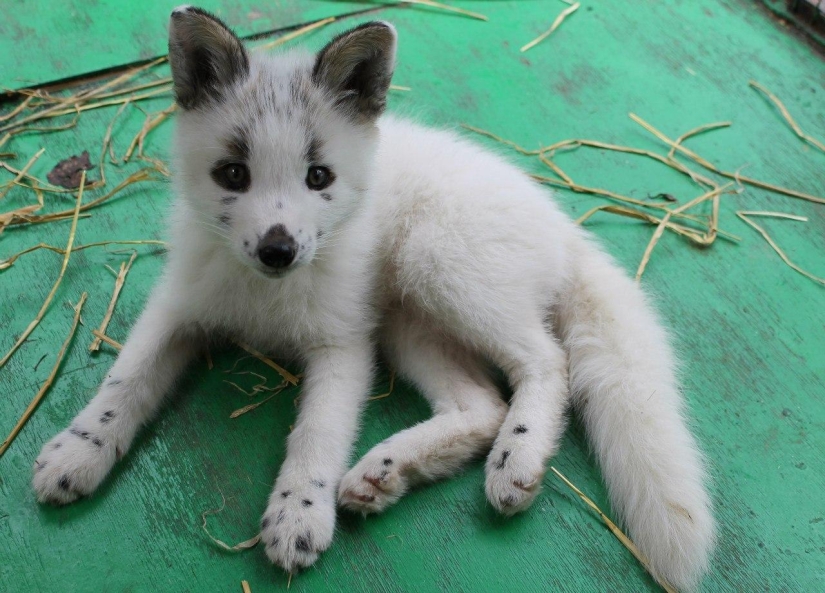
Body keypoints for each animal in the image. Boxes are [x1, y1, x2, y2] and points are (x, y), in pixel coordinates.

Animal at [31, 6, 715, 589]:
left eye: (318, 177)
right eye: (232, 174)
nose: (279, 250)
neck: (263, 298)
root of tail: (562, 226)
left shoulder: (344, 348)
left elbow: (315, 436)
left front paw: (298, 514)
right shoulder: (179, 309)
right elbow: (124, 383)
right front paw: (79, 450)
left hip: (443, 271)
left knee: (548, 362)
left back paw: (514, 458)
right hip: (407, 324)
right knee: (481, 404)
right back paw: (383, 473)